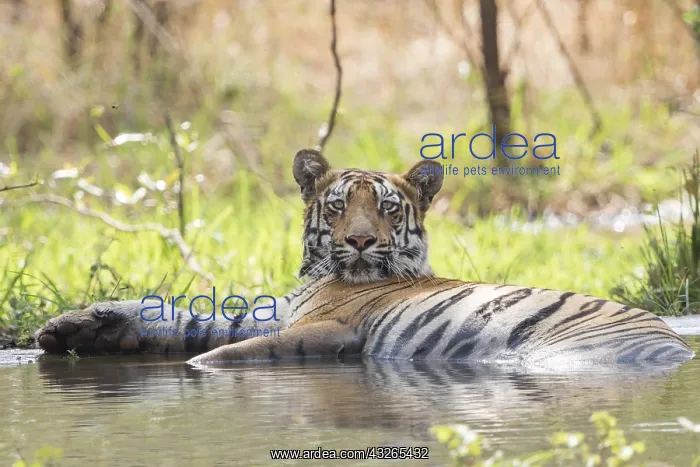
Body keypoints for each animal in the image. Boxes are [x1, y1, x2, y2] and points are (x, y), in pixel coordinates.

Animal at [35, 148, 695, 367]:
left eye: (385, 208)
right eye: (336, 207)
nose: (357, 241)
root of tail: (677, 346)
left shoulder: (332, 330)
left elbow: (223, 354)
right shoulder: (280, 311)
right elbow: (195, 318)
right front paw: (78, 326)